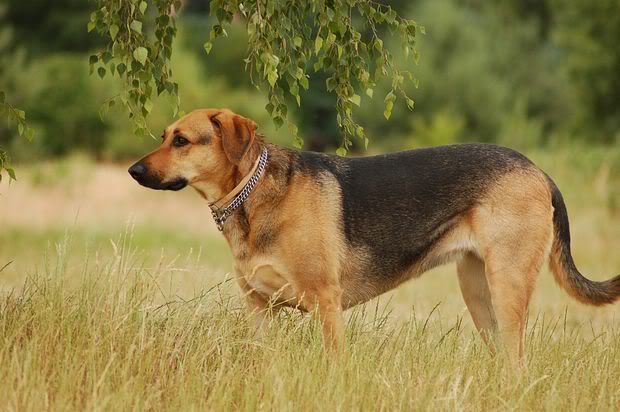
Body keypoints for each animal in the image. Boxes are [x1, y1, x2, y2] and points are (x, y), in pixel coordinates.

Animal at [129, 108, 620, 364]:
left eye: (182, 141)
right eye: (164, 136)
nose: (134, 170)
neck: (253, 193)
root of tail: (539, 172)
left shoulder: (325, 303)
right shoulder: (258, 308)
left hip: (508, 286)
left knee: (517, 360)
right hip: (479, 293)